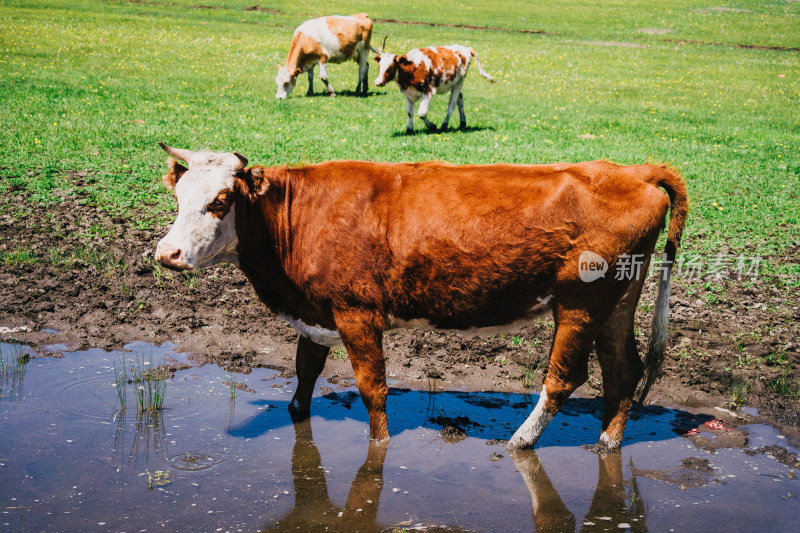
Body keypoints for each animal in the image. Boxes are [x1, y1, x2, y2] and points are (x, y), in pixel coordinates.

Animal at [155, 143, 688, 450]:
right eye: (179, 198)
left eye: (220, 201)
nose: (167, 253)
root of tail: (634, 172)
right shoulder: (317, 314)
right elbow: (305, 372)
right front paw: (296, 415)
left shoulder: (357, 314)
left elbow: (373, 389)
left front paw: (381, 446)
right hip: (618, 300)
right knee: (623, 371)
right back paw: (608, 444)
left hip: (580, 302)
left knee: (564, 378)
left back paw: (520, 441)